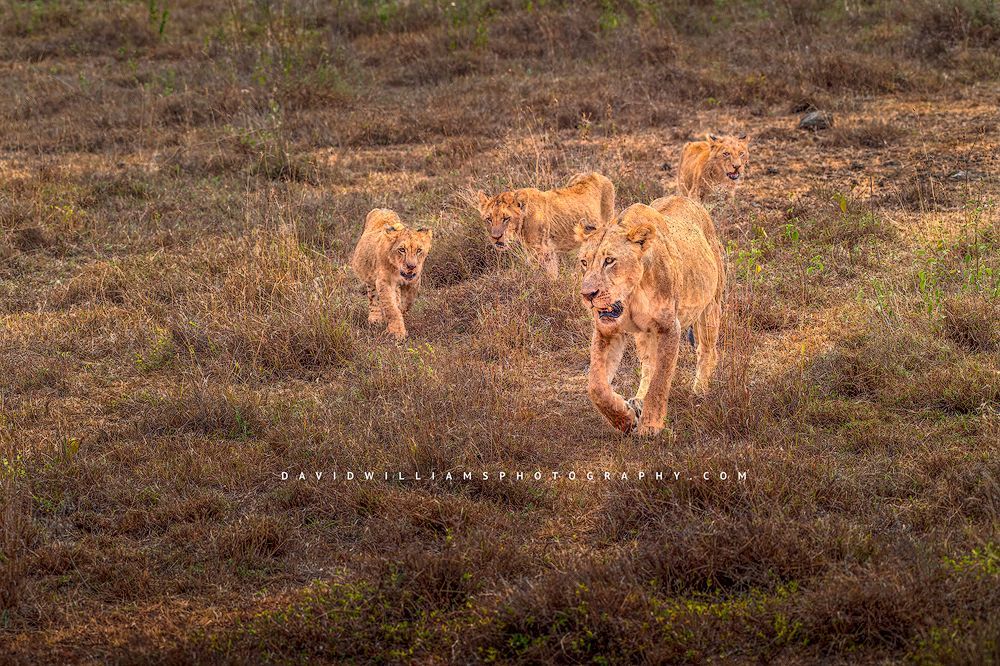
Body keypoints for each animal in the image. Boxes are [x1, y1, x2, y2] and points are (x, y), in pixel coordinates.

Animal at [350, 208, 432, 341]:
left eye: (419, 250)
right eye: (402, 250)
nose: (411, 266)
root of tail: (382, 209)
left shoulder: (414, 281)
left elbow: (407, 302)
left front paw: (401, 314)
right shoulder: (384, 282)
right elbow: (391, 307)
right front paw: (397, 332)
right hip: (370, 277)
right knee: (373, 297)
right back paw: (375, 319)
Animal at [576, 197, 724, 436]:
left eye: (609, 261)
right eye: (584, 262)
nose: (588, 295)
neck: (631, 295)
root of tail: (687, 198)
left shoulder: (668, 327)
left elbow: (660, 380)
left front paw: (651, 425)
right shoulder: (607, 330)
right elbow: (596, 386)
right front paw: (625, 419)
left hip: (710, 305)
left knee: (707, 351)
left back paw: (699, 389)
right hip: (645, 333)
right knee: (647, 365)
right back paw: (637, 401)